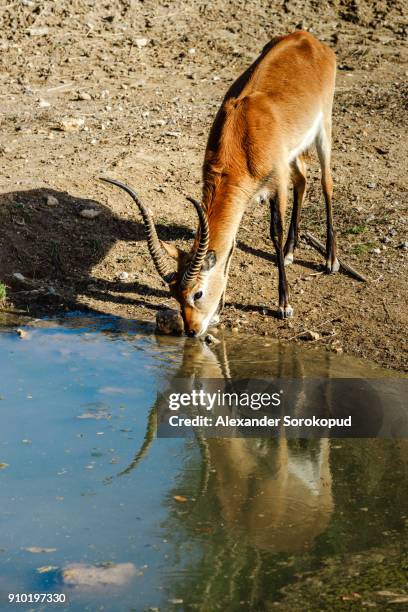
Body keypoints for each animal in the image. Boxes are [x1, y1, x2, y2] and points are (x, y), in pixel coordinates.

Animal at [102, 29, 338, 334]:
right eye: (174, 294)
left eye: (197, 293)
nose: (192, 330)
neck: (242, 137)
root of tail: (306, 37)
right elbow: (232, 245)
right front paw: (219, 310)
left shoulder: (277, 183)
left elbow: (274, 232)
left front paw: (284, 305)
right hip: (296, 152)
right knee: (303, 179)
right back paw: (290, 252)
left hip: (323, 131)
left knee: (326, 183)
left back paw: (331, 260)